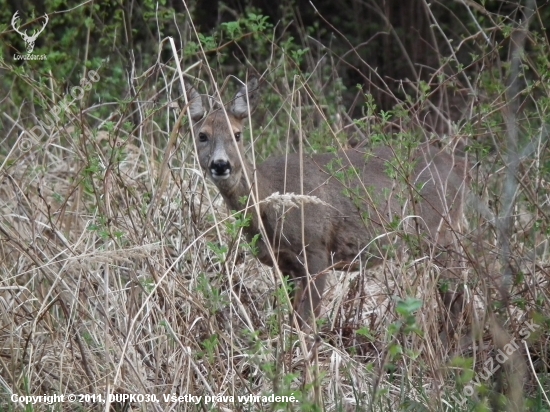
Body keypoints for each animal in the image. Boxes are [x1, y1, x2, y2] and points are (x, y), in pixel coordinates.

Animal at [187, 76, 470, 328]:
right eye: (202, 135)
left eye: (237, 135)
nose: (220, 164)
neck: (269, 200)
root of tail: (456, 166)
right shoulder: (284, 263)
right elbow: (294, 317)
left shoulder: (316, 248)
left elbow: (307, 320)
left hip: (438, 231)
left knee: (457, 293)